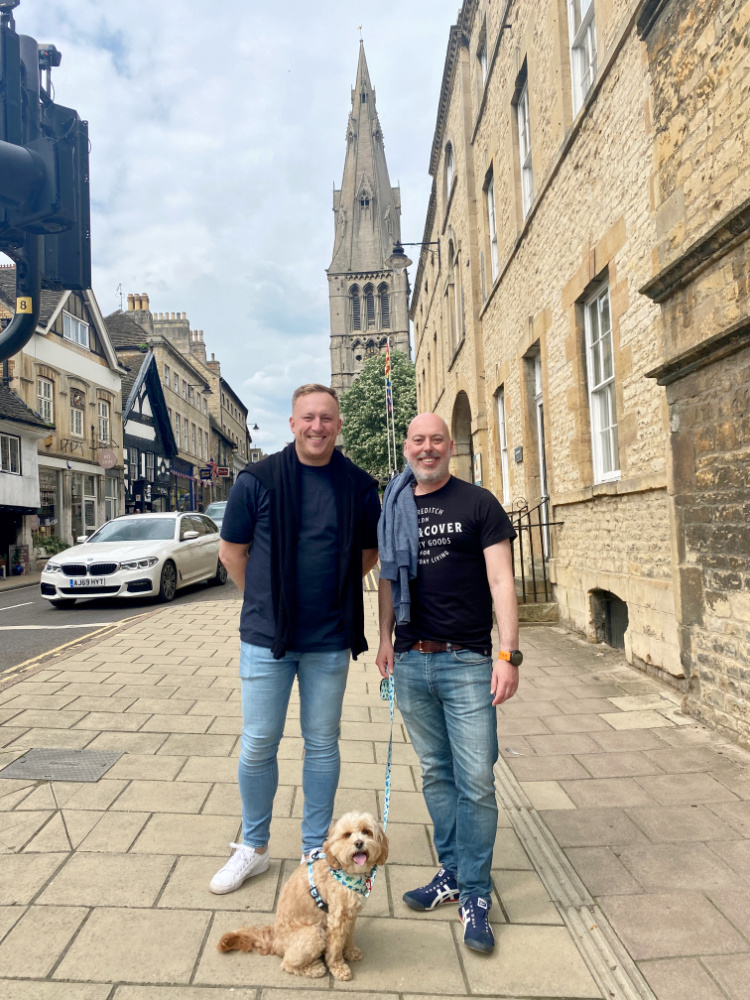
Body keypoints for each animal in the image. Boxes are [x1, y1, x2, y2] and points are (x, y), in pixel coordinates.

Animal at [219, 812, 388, 976]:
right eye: (347, 835)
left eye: (366, 832)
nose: (359, 843)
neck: (343, 872)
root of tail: (274, 942)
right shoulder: (337, 919)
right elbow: (335, 947)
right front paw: (338, 968)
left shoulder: (350, 916)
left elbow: (348, 937)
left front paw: (351, 952)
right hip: (314, 933)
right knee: (288, 964)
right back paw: (314, 968)